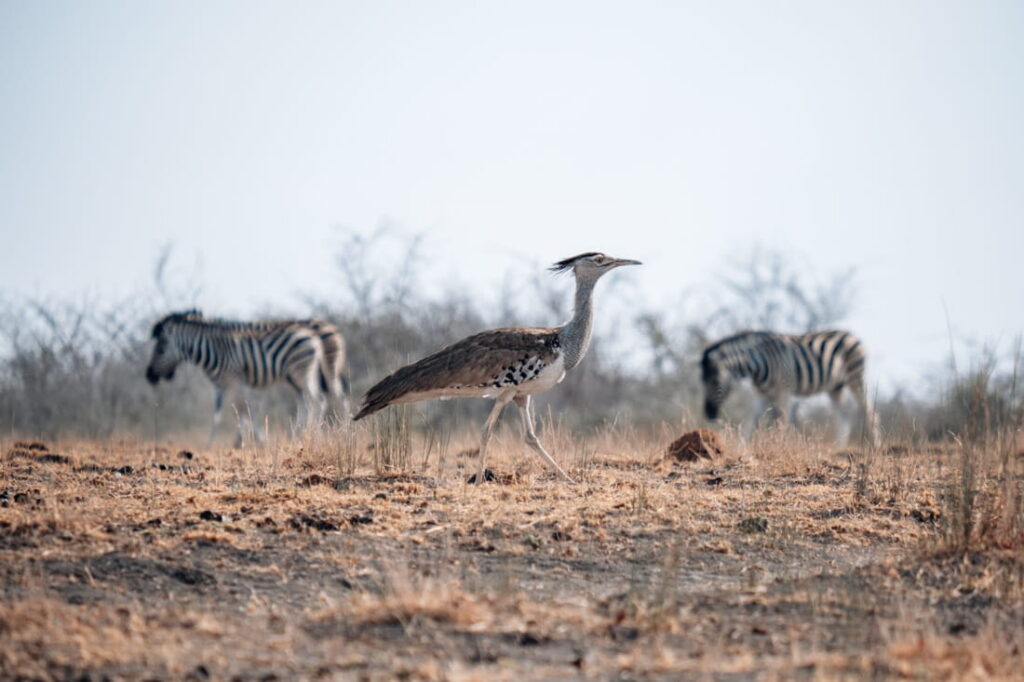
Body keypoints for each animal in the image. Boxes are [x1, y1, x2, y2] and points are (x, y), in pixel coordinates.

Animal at [145, 310, 349, 446]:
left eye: (160, 349)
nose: (150, 376)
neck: (212, 349)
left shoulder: (237, 380)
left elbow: (246, 409)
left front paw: (254, 440)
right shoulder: (222, 385)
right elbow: (219, 415)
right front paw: (212, 444)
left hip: (312, 371)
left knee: (324, 399)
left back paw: (329, 435)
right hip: (297, 377)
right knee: (310, 402)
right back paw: (302, 435)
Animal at [701, 330, 879, 445]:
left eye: (715, 381)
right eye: (702, 381)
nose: (708, 414)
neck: (759, 364)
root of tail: (852, 335)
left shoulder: (784, 391)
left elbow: (783, 422)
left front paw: (782, 445)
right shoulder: (761, 394)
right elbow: (749, 423)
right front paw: (742, 449)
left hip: (855, 377)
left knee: (869, 411)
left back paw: (874, 446)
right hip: (835, 387)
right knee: (843, 414)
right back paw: (837, 448)